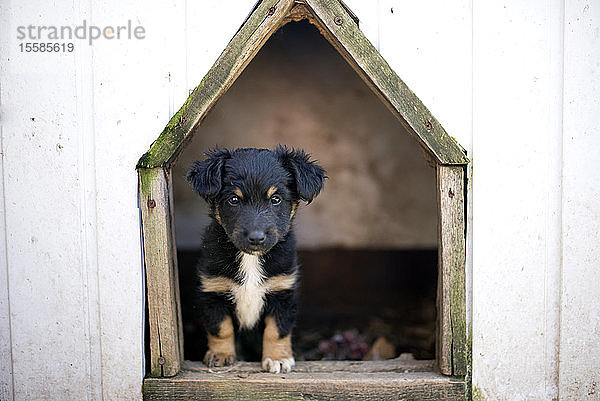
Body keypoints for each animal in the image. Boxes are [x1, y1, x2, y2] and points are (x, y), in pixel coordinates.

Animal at [188, 146, 328, 372]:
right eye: (234, 200)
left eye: (276, 199)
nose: (256, 238)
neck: (250, 259)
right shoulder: (212, 291)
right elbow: (221, 328)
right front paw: (221, 354)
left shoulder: (282, 291)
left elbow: (277, 330)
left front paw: (278, 358)